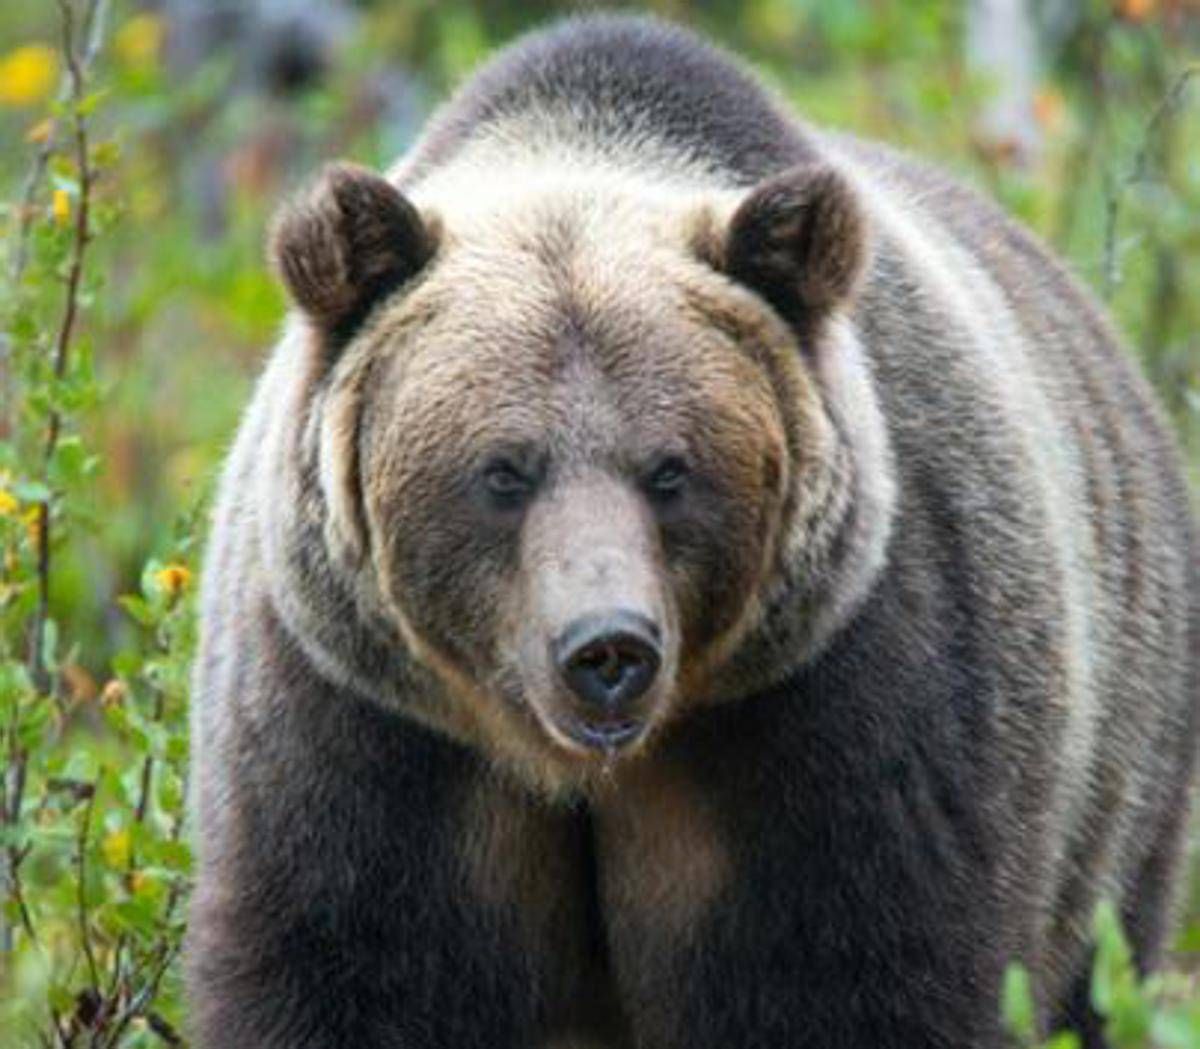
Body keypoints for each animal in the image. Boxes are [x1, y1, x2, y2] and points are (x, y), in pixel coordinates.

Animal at [185, 14, 1199, 1049]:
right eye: (503, 470)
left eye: (670, 470)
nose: (606, 649)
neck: (580, 768)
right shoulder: (364, 728)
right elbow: (352, 971)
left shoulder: (841, 712)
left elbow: (850, 977)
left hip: (1126, 782)